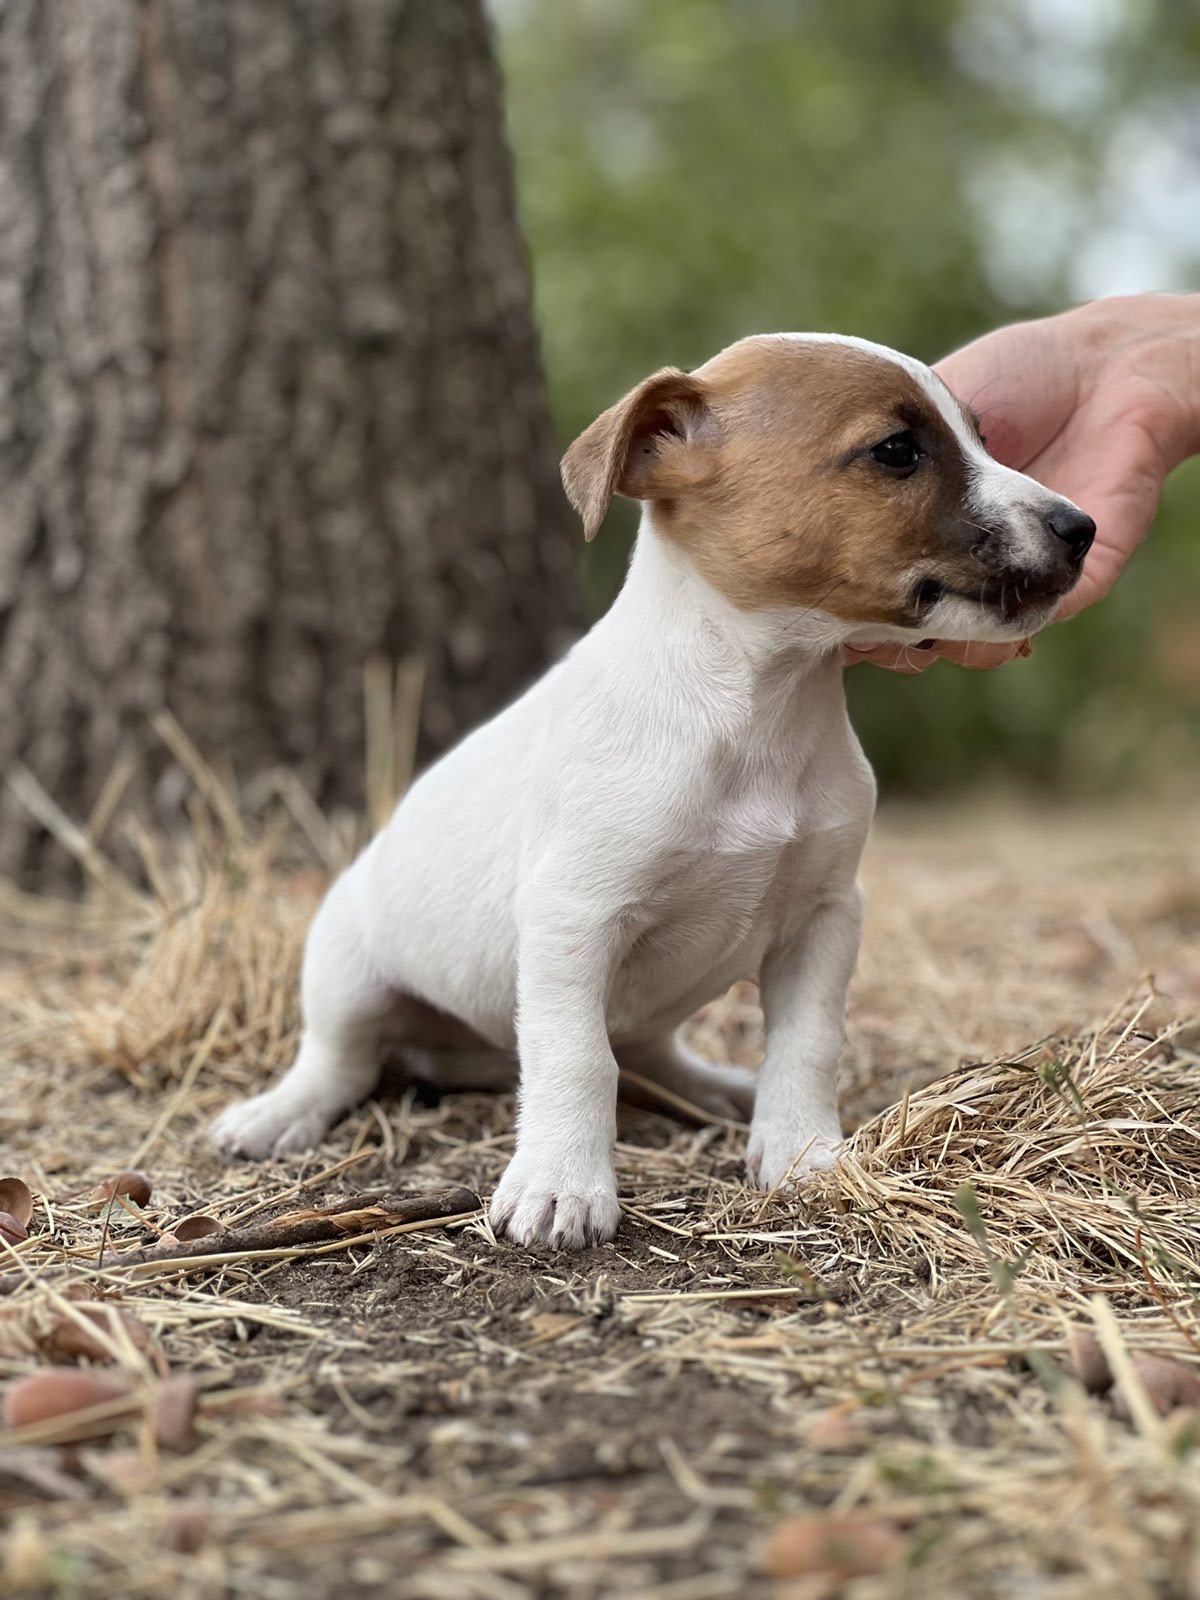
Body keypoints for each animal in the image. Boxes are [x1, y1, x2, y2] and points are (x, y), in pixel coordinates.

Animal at [211, 328, 1094, 1248]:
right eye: (897, 451)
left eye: (983, 437)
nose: (1082, 529)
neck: (759, 708)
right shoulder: (573, 919)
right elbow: (576, 1060)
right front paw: (561, 1183)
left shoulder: (825, 918)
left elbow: (806, 1044)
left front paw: (802, 1150)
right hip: (346, 963)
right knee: (341, 1060)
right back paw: (279, 1114)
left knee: (647, 1057)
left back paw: (718, 1090)